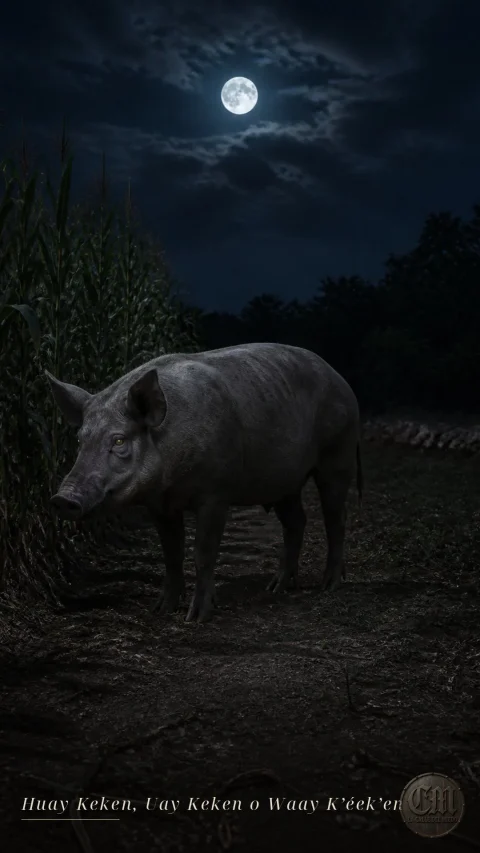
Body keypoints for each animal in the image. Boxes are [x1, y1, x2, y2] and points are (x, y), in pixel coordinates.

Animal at [46, 342, 363, 623]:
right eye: (80, 440)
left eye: (119, 440)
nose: (62, 499)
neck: (170, 482)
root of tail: (340, 379)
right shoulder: (159, 505)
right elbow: (172, 554)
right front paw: (160, 610)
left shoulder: (216, 493)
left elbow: (203, 552)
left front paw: (196, 618)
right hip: (285, 481)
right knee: (296, 521)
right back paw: (277, 587)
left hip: (339, 452)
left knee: (335, 517)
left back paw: (329, 585)